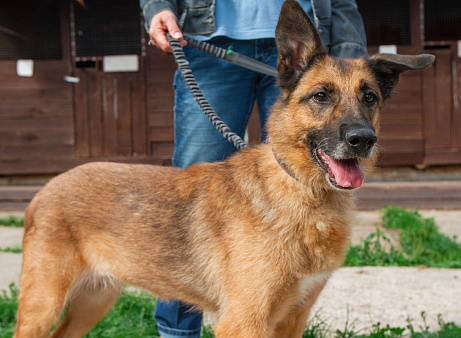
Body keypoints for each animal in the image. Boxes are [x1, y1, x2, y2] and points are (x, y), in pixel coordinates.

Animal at [12, 1, 434, 336]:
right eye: (320, 96)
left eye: (370, 98)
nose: (363, 140)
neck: (302, 192)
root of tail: (49, 186)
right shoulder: (244, 322)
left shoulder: (291, 321)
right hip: (43, 305)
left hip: (94, 301)